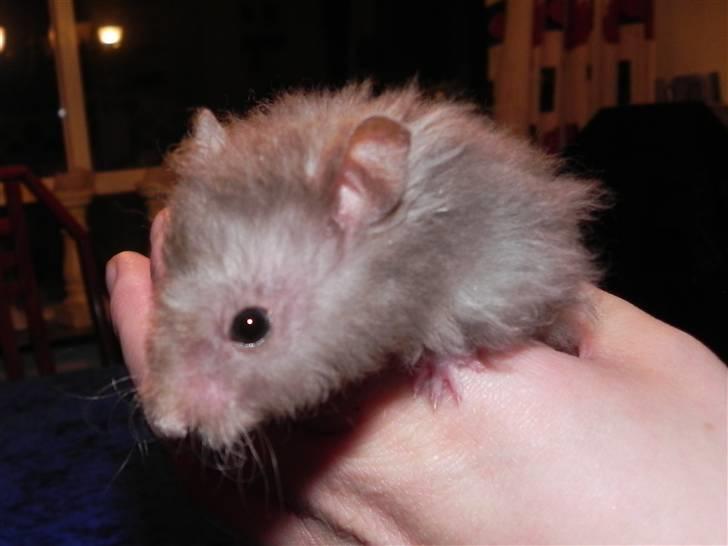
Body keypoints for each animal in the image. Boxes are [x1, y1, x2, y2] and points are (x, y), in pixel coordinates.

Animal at [143, 83, 602, 450]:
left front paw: (440, 385)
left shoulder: (505, 280)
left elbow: (456, 337)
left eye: (250, 325)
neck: (411, 256)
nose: (165, 425)